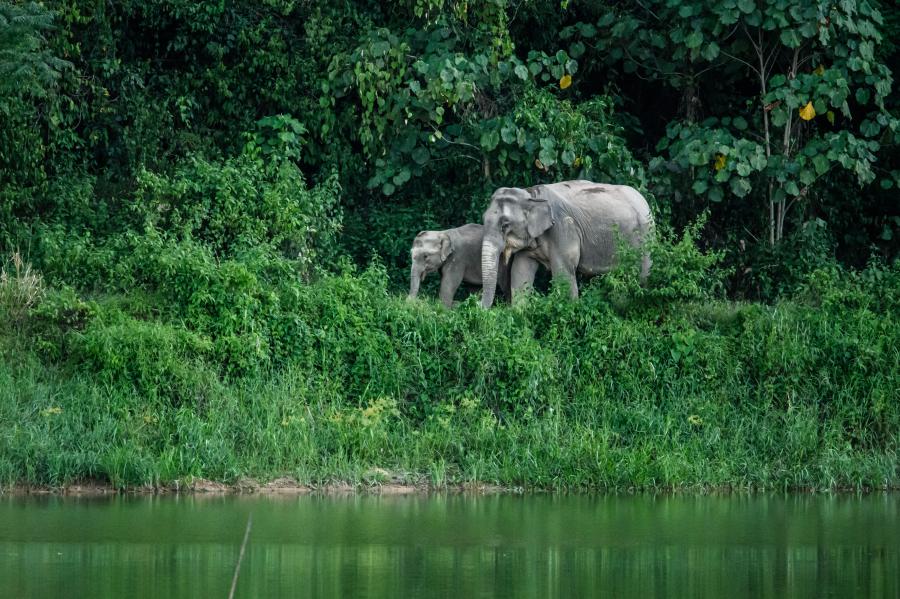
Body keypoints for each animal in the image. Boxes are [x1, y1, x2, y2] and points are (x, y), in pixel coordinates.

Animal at [480, 180, 653, 308]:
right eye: (483, 219)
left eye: (505, 225)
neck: (531, 194)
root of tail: (644, 201)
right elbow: (520, 271)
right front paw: (519, 314)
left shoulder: (563, 228)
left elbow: (562, 274)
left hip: (644, 235)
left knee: (642, 274)